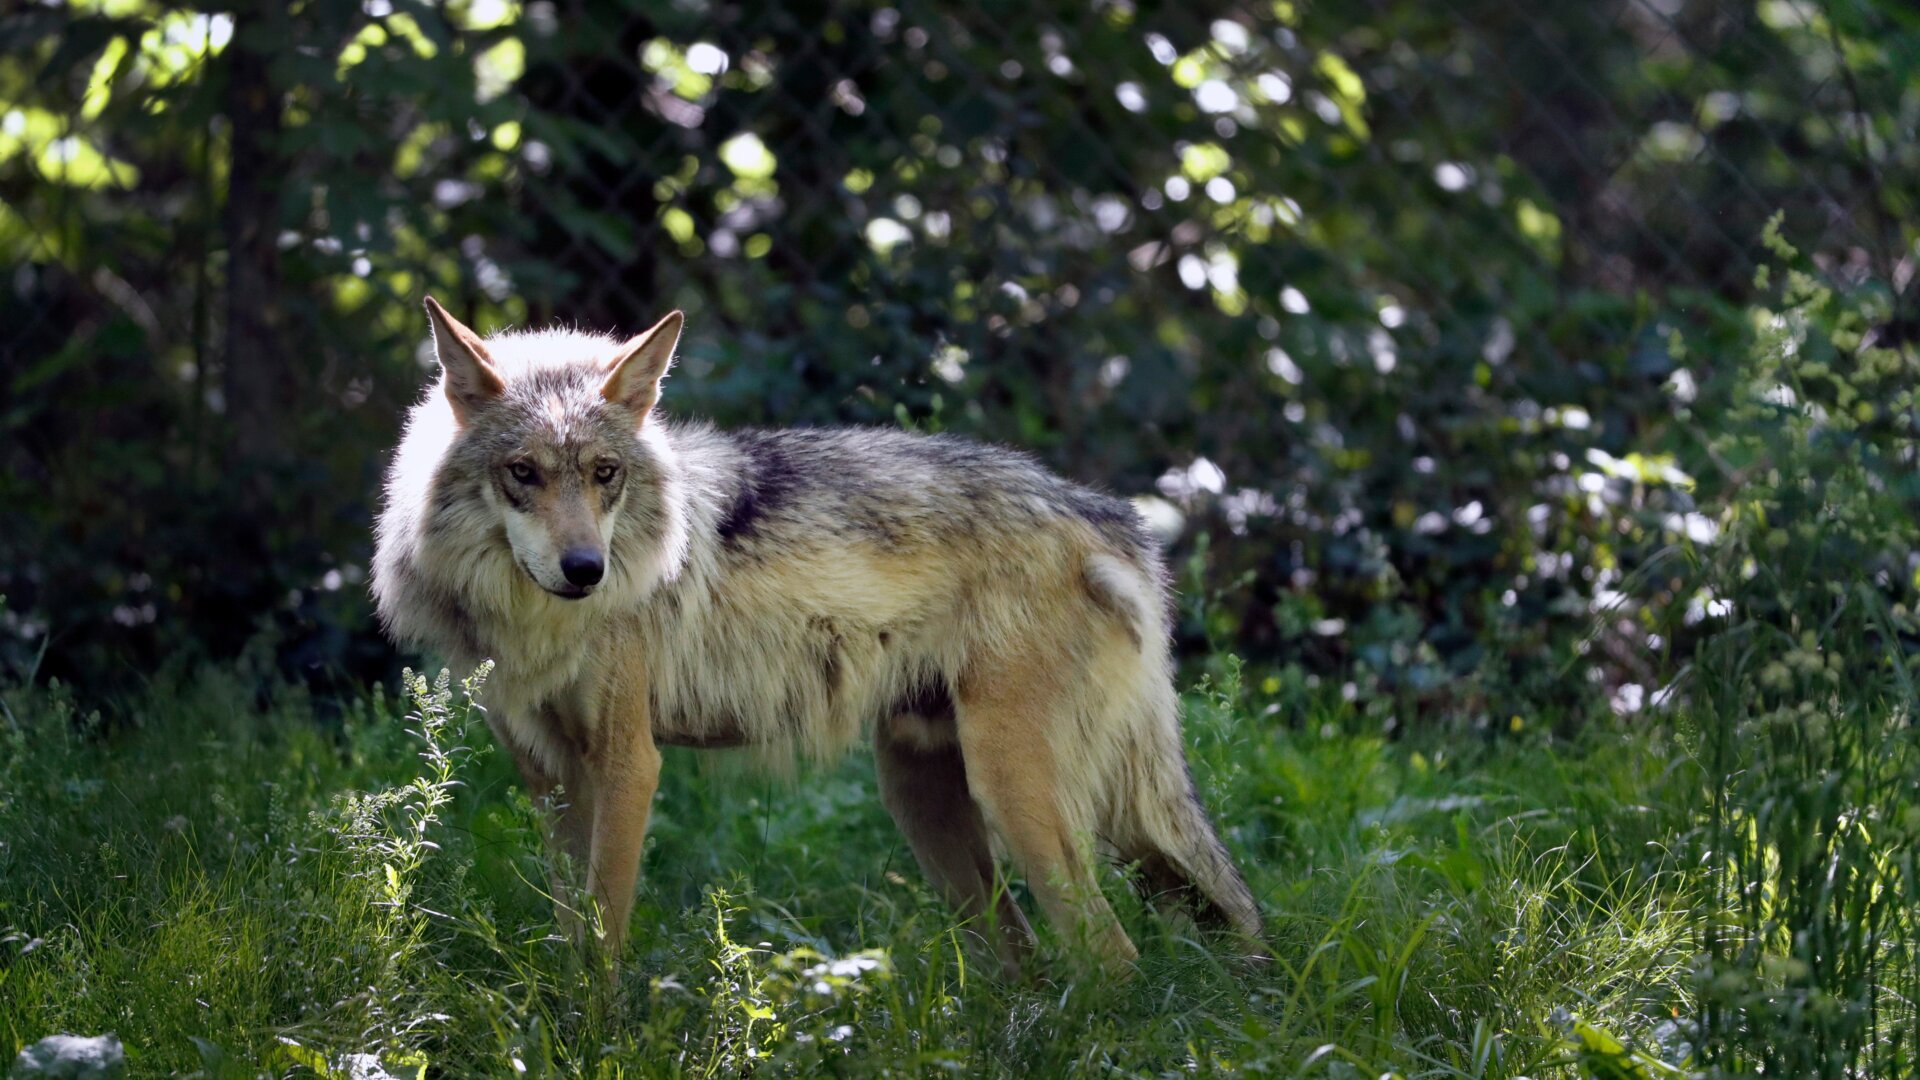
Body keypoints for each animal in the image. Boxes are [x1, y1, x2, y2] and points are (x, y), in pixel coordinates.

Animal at [371, 297, 1261, 973]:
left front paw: (599, 1042)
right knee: (1027, 958)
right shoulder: (551, 780)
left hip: (1020, 797)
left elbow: (605, 947)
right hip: (929, 804)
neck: (538, 624)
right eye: (523, 473)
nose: (586, 568)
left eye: (604, 475)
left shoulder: (628, 766)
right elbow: (570, 944)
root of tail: (1110, 517)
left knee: (1112, 957)